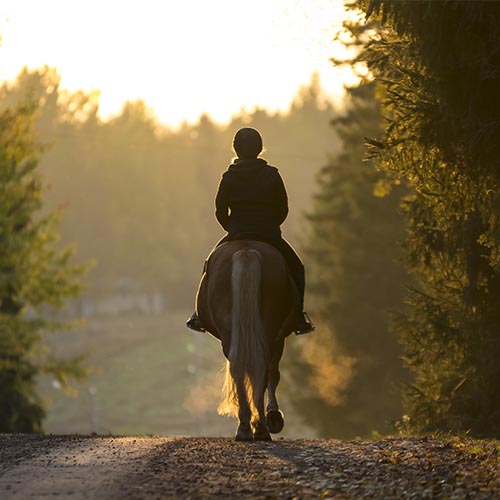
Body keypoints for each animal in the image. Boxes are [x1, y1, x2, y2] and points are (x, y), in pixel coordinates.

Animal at [194, 240, 296, 440]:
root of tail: (246, 251)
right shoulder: (279, 337)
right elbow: (274, 374)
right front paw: (273, 416)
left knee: (239, 368)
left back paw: (246, 428)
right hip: (269, 330)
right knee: (262, 369)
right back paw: (260, 427)